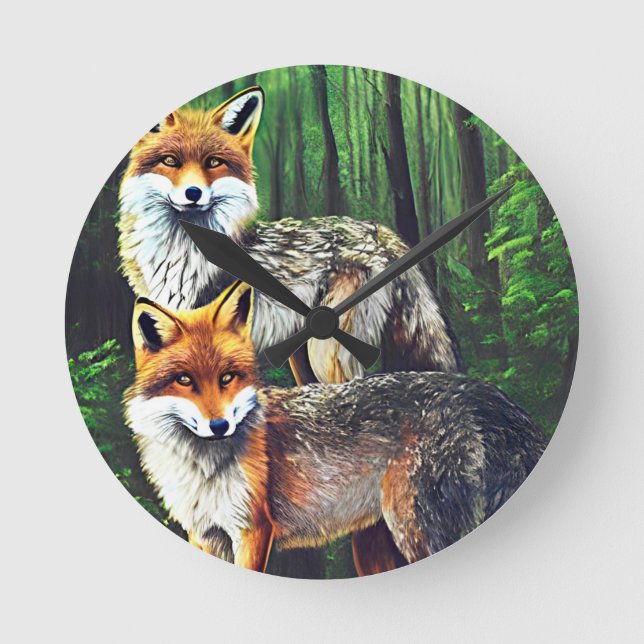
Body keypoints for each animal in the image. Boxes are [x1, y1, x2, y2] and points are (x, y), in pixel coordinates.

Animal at [124, 282, 548, 573]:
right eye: (184, 380)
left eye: (227, 377)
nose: (219, 425)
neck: (202, 468)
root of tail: (483, 393)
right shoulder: (205, 536)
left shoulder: (252, 531)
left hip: (415, 527)